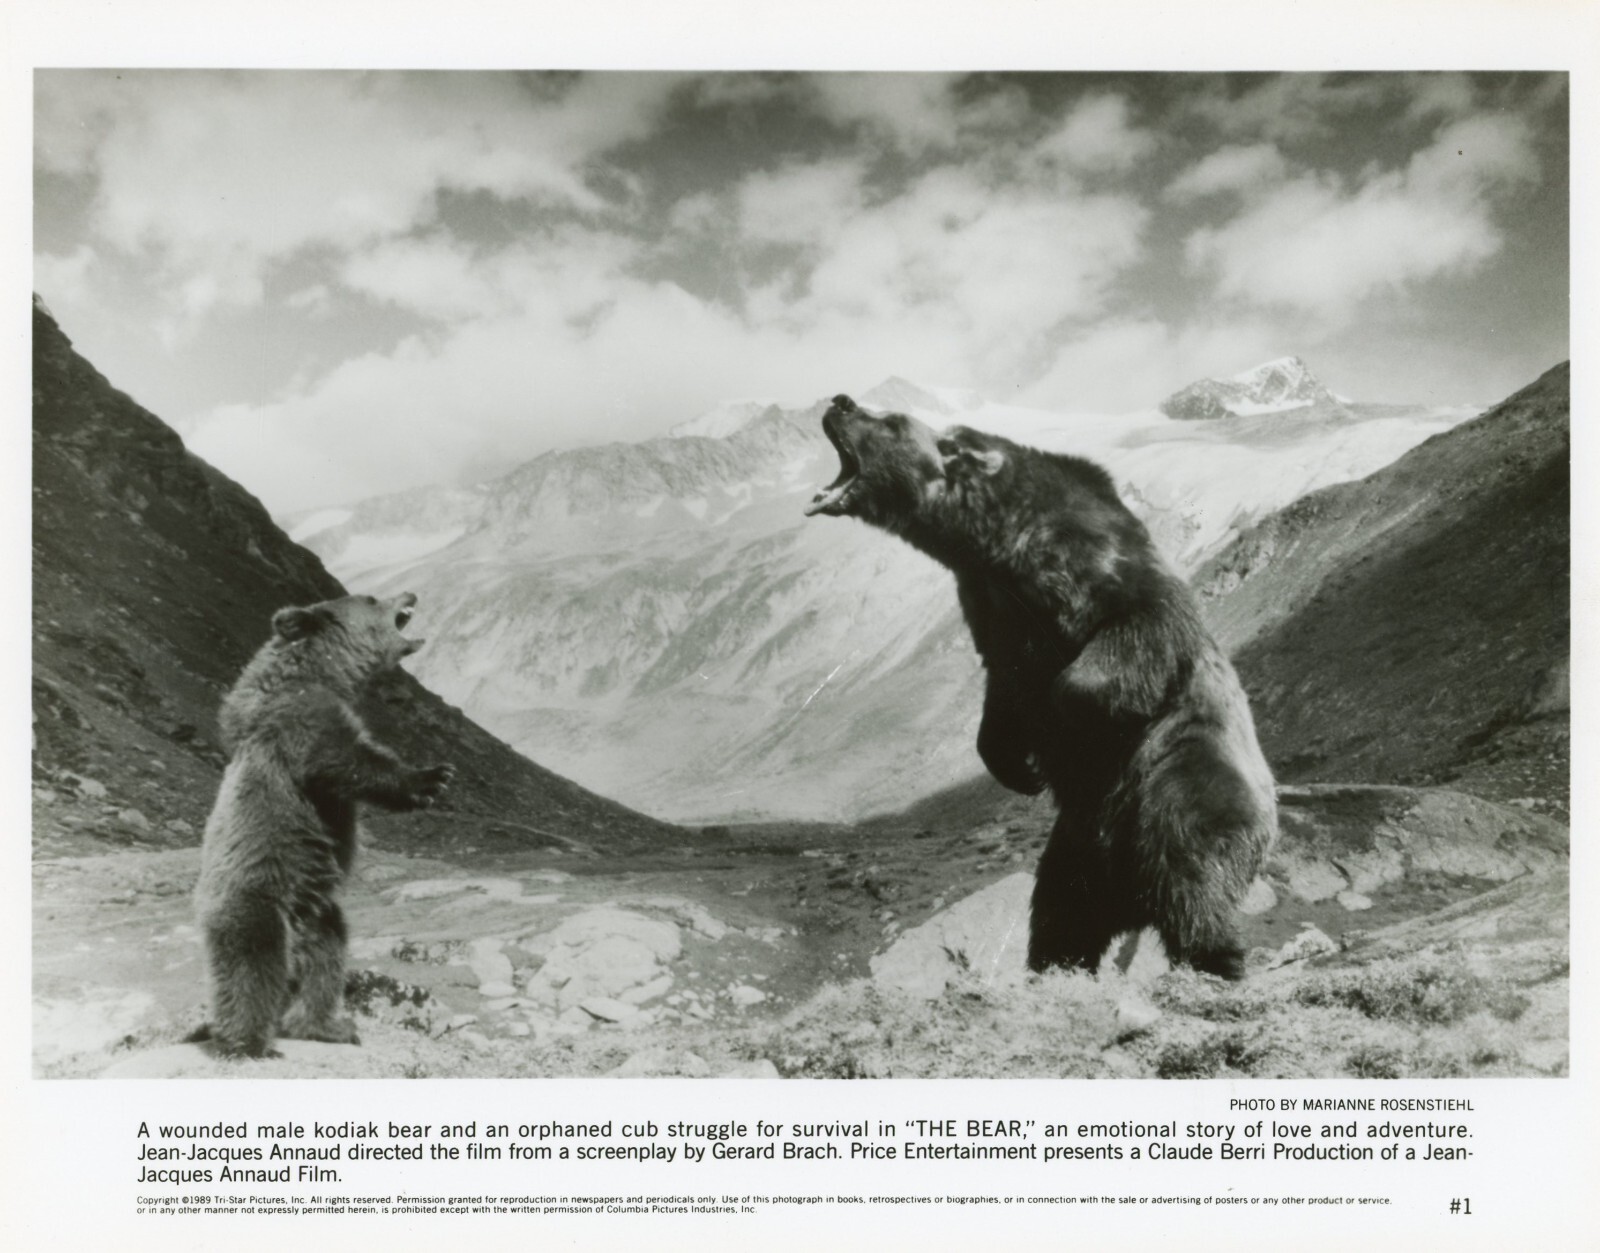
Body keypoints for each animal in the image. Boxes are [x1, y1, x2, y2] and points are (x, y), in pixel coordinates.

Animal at [192, 591, 454, 1056]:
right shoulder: (302, 718)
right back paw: (247, 1043)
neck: (322, 672)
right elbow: (345, 760)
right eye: (371, 598)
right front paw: (431, 777)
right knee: (251, 965)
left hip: (319, 910)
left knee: (325, 959)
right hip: (255, 900)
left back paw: (327, 1026)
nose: (410, 595)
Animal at [806, 395, 1277, 979]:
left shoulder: (1103, 568)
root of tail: (1131, 894)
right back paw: (1057, 965)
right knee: (1062, 911)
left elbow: (1124, 640)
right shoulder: (995, 613)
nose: (840, 402)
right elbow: (1002, 693)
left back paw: (1215, 961)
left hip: (1185, 780)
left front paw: (1060, 730)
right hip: (1076, 850)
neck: (995, 541)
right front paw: (1017, 766)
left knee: (1191, 875)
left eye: (891, 421)